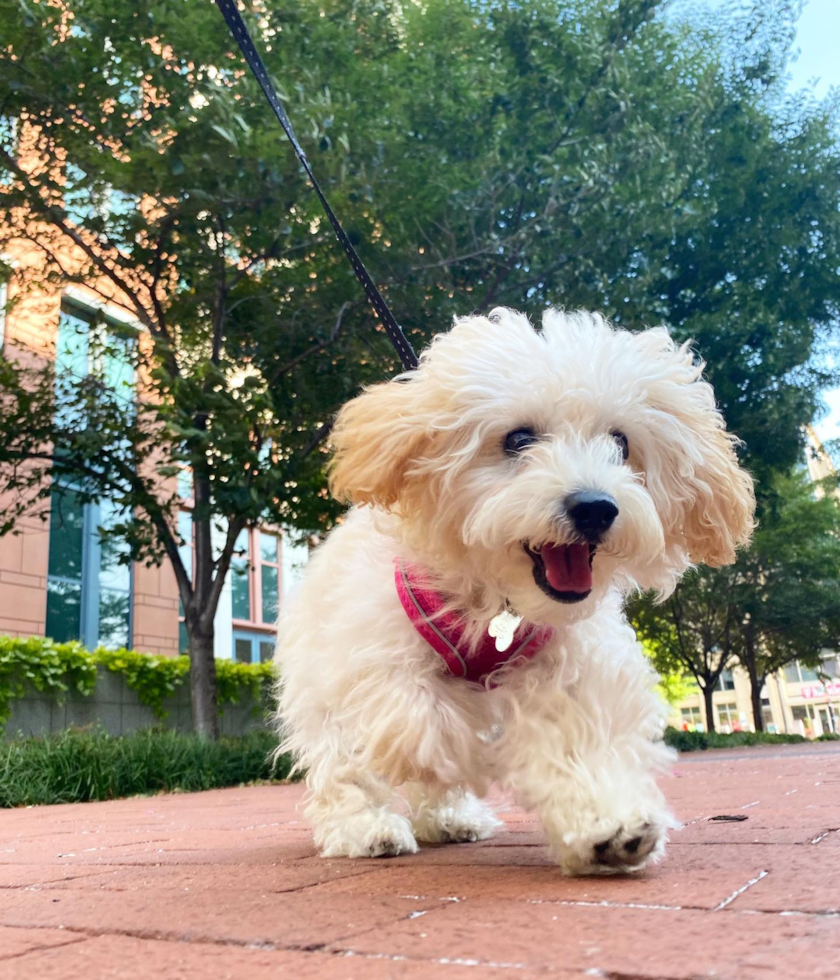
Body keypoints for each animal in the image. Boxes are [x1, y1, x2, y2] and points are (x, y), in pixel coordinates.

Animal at [276, 306, 756, 872]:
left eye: (620, 443)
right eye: (518, 439)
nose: (595, 508)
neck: (498, 603)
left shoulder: (568, 665)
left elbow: (571, 731)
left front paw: (606, 824)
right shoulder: (377, 663)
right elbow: (428, 725)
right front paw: (485, 753)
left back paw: (451, 819)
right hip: (319, 685)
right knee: (345, 765)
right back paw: (365, 827)